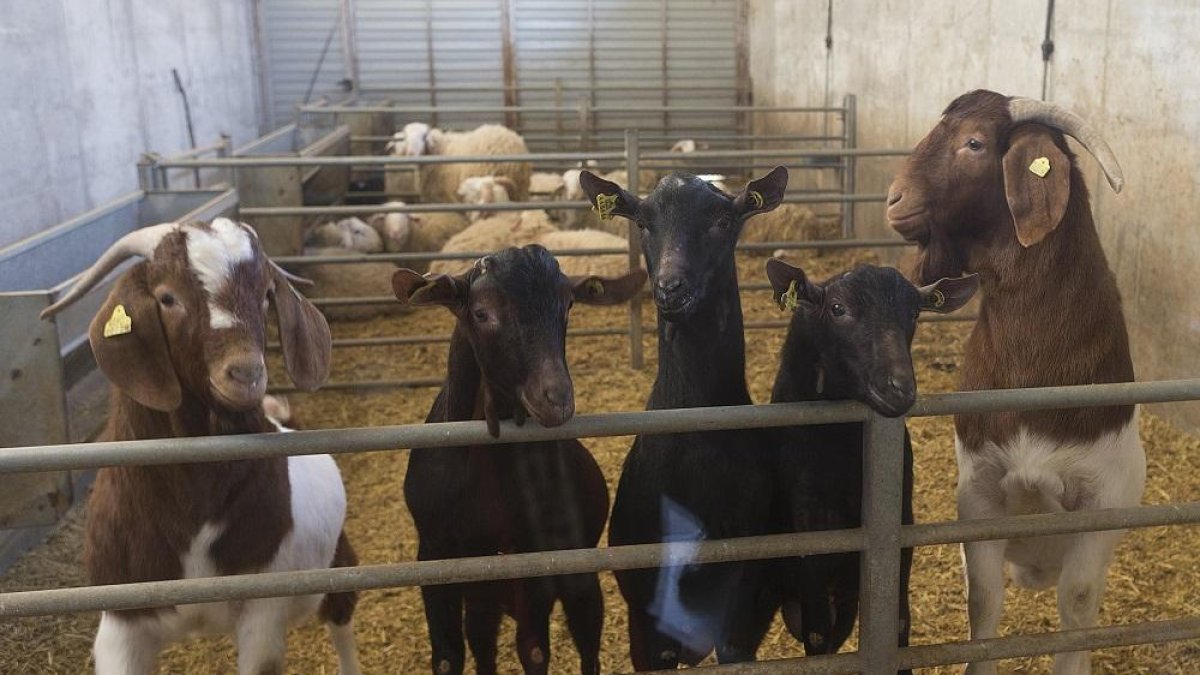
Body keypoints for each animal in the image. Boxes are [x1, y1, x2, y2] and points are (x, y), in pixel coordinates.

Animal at [38, 218, 359, 675]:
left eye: (266, 294)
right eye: (167, 297)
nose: (245, 373)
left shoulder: (263, 610)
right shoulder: (120, 620)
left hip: (338, 564)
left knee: (341, 618)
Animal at [392, 246, 647, 675]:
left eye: (569, 304)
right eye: (482, 313)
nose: (556, 398)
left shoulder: (533, 563)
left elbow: (535, 650)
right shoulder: (435, 559)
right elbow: (447, 657)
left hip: (577, 576)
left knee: (586, 639)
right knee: (482, 640)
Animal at [764, 259, 978, 672]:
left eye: (914, 313)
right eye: (837, 309)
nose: (899, 389)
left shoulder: (902, 524)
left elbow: (899, 623)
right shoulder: (810, 532)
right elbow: (817, 634)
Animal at [887, 89, 1142, 675]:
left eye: (975, 143)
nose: (893, 199)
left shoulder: (1101, 498)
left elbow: (1077, 606)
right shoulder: (979, 491)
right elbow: (983, 600)